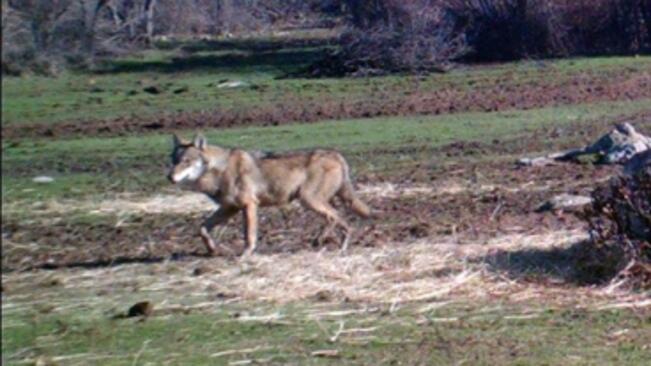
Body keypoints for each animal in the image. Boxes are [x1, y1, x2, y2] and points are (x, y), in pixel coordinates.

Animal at [166, 133, 374, 256]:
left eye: (186, 161)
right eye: (173, 161)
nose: (169, 177)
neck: (220, 169)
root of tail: (336, 155)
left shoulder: (249, 205)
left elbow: (249, 235)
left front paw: (245, 255)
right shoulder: (229, 209)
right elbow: (202, 228)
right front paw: (211, 249)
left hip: (309, 200)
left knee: (338, 219)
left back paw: (331, 243)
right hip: (314, 201)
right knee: (338, 220)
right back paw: (329, 244)